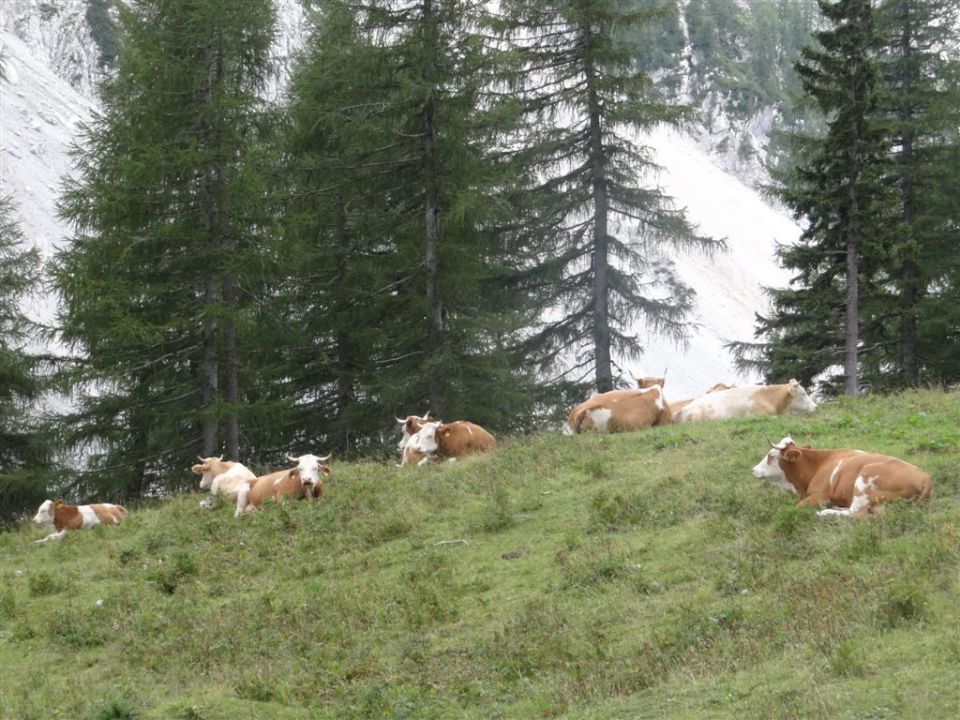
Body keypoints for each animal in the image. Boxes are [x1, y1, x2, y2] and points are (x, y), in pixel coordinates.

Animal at [752, 436, 928, 516]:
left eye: (771, 456)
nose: (753, 470)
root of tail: (925, 477)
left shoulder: (819, 496)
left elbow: (796, 508)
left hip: (864, 480)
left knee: (857, 514)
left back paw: (826, 513)